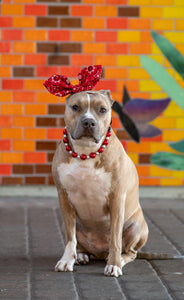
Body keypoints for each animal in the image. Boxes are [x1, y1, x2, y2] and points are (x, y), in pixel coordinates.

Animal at [51, 90, 148, 278]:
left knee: (130, 252)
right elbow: (70, 239)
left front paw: (114, 265)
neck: (86, 151)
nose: (89, 122)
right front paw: (67, 261)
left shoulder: (117, 198)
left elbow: (115, 240)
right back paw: (81, 256)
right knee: (79, 243)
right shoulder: (64, 198)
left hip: (138, 227)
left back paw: (119, 259)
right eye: (75, 107)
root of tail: (99, 253)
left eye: (102, 109)